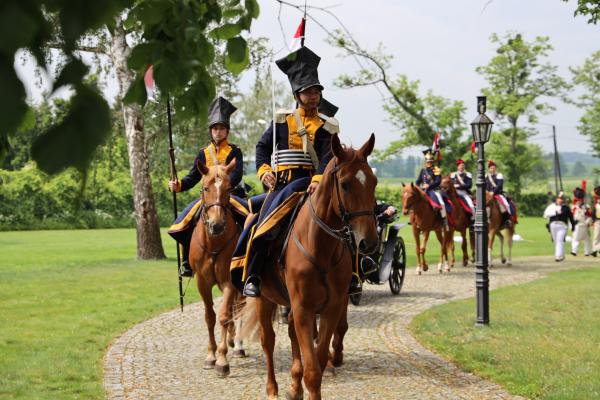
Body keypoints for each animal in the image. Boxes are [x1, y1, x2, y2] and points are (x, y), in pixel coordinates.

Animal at [188, 158, 244, 376]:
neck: (213, 243)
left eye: (229, 188)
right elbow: (210, 317)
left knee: (238, 309)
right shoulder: (202, 283)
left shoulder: (229, 282)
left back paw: (238, 345)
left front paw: (221, 359)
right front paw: (211, 356)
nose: (217, 225)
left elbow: (224, 316)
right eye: (205, 188)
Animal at [234, 134, 376, 400]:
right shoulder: (303, 309)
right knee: (268, 341)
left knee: (290, 335)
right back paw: (272, 388)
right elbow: (312, 370)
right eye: (344, 184)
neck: (320, 247)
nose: (369, 242)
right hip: (264, 299)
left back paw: (293, 386)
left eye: (374, 182)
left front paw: (301, 383)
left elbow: (318, 361)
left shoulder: (330, 308)